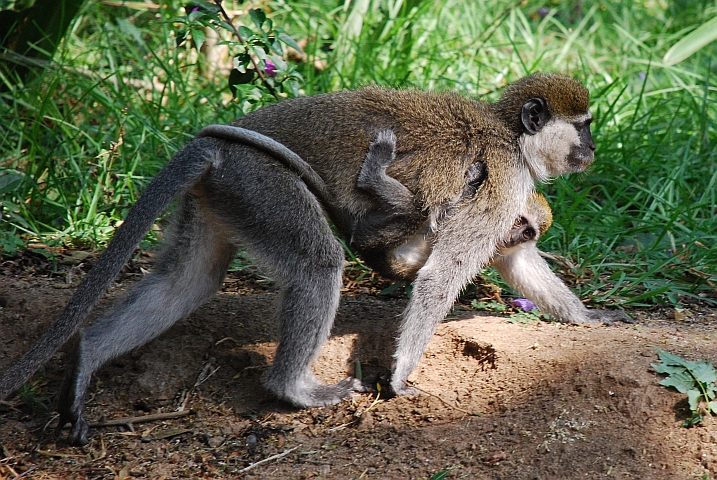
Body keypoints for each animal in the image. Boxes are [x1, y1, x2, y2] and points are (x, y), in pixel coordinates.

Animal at [2, 73, 600, 444]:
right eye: (586, 124)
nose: (594, 149)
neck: (513, 139)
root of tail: (222, 145)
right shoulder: (504, 180)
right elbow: (442, 273)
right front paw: (400, 377)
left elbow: (516, 263)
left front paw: (592, 317)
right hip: (263, 183)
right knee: (319, 263)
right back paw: (294, 390)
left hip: (228, 193)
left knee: (187, 280)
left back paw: (87, 357)